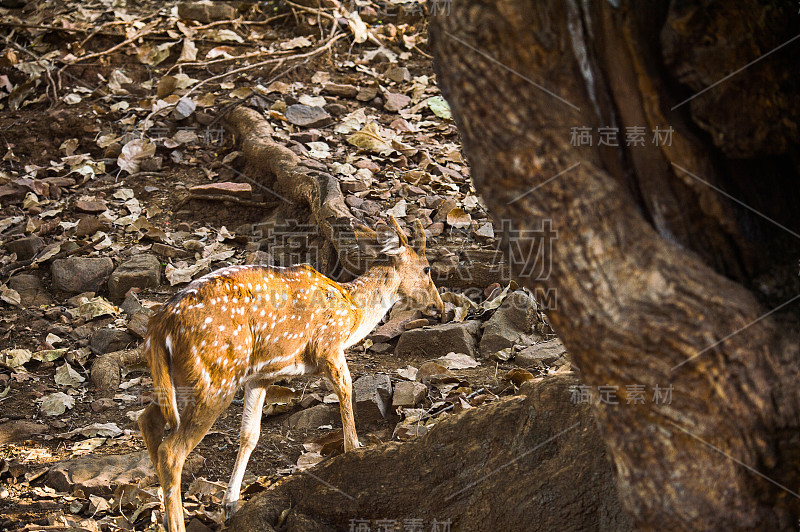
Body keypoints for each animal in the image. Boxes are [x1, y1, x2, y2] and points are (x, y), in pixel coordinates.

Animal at [138, 217, 444, 532]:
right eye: (427, 268)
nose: (440, 307)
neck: (353, 312)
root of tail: (158, 327)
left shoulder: (260, 375)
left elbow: (250, 434)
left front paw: (230, 505)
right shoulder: (328, 345)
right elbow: (347, 390)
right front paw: (353, 450)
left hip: (180, 379)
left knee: (146, 420)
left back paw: (164, 514)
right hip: (215, 377)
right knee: (171, 451)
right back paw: (175, 522)